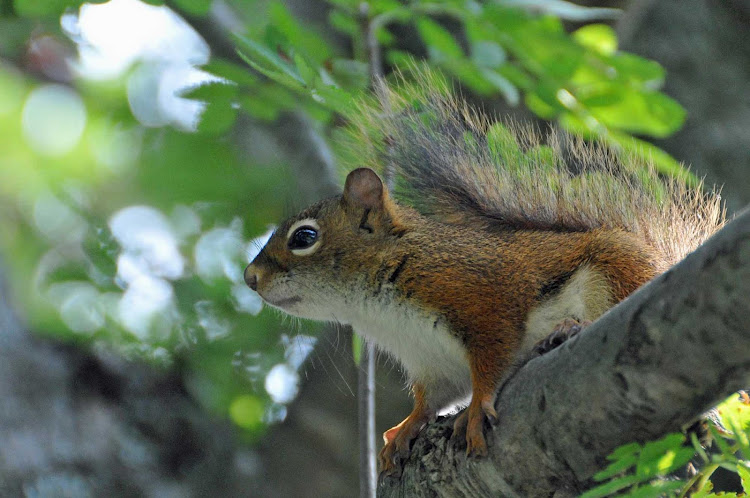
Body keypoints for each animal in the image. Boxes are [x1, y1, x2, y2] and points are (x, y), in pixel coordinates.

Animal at [244, 73, 724, 474]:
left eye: (305, 237)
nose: (250, 278)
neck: (376, 307)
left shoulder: (483, 295)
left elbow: (492, 359)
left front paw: (475, 410)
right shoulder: (431, 362)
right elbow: (432, 399)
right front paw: (406, 427)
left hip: (615, 271)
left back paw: (566, 330)